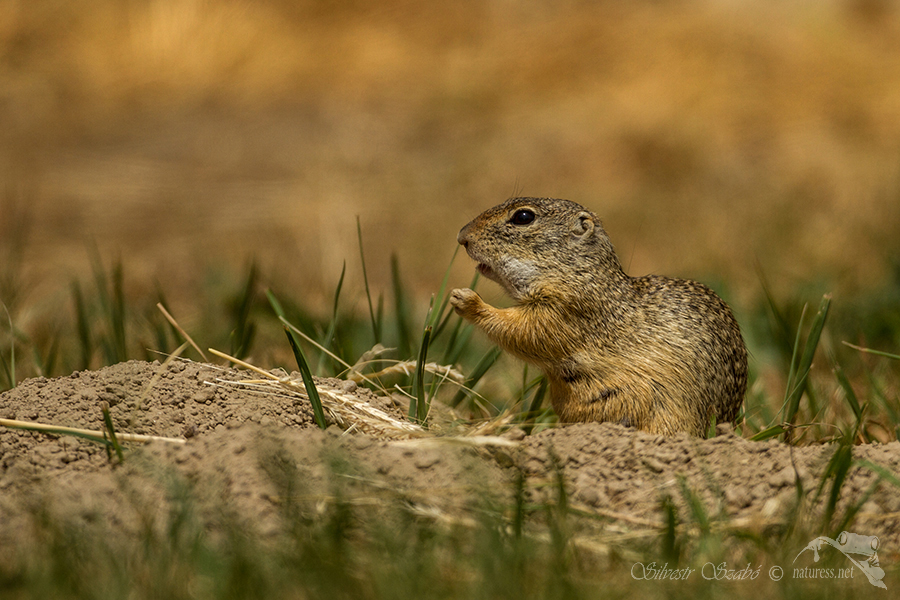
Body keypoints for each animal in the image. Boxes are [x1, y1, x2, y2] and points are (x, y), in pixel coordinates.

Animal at [450, 197, 752, 436]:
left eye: (523, 217)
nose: (462, 236)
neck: (580, 274)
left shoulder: (565, 312)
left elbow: (523, 332)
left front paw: (465, 300)